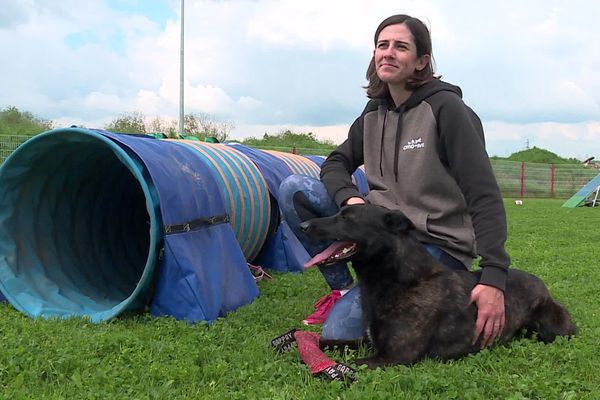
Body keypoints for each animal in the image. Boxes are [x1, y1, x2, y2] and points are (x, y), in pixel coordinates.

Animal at [300, 203, 576, 368]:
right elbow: (326, 344)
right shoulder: (367, 342)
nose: (303, 225)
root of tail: (541, 285)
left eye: (347, 217)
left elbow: (343, 364)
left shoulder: (393, 357)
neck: (400, 281)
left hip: (554, 329)